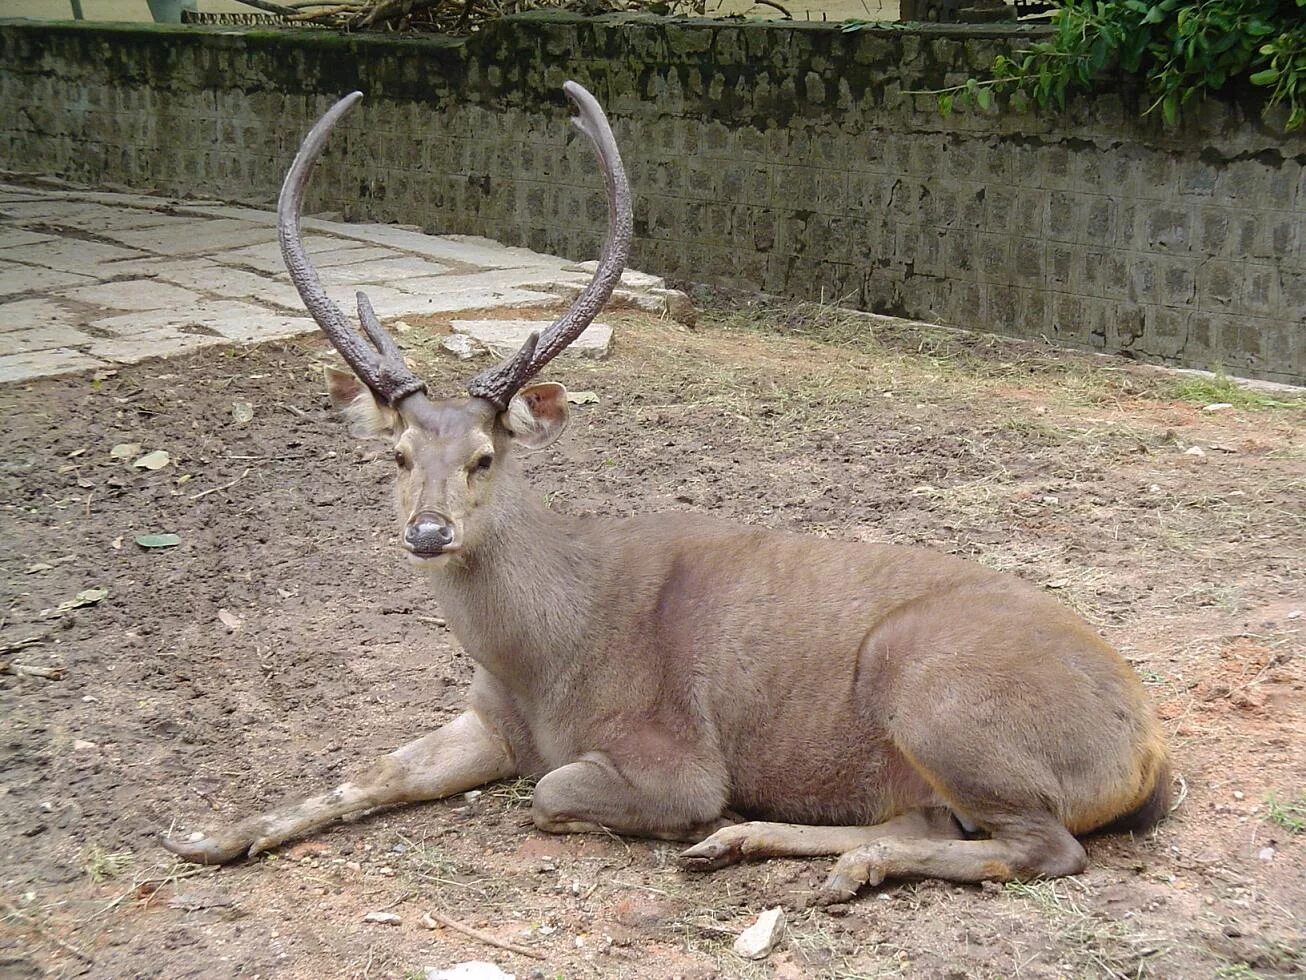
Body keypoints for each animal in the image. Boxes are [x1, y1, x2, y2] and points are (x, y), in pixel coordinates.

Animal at [158, 84, 1170, 904]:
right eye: (399, 455)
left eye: (486, 455)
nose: (430, 532)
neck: (542, 662)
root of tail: (1149, 748)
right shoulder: (486, 718)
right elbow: (369, 772)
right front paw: (208, 836)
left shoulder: (673, 757)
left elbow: (552, 792)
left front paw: (679, 824)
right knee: (931, 819)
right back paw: (766, 850)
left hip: (936, 691)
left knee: (1046, 848)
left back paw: (812, 856)